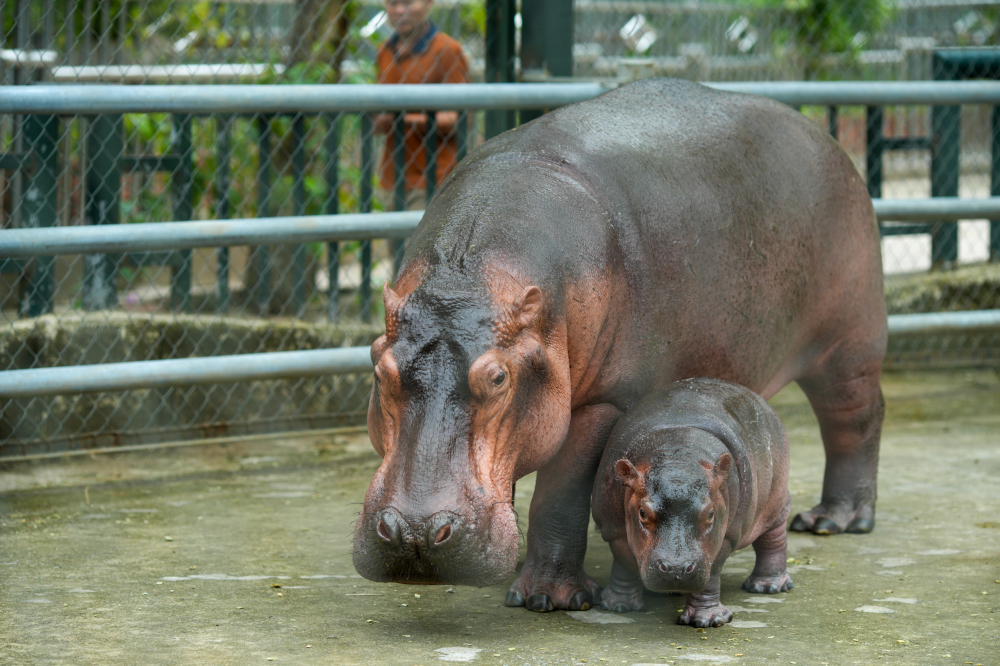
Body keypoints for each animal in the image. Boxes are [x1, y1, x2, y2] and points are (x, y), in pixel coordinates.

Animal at [588, 376, 792, 624]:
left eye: (711, 513)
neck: (677, 450)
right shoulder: (614, 528)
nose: (676, 569)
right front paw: (616, 606)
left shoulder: (727, 534)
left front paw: (709, 620)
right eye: (643, 512)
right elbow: (624, 563)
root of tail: (760, 401)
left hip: (776, 501)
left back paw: (767, 587)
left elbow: (712, 574)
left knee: (774, 538)